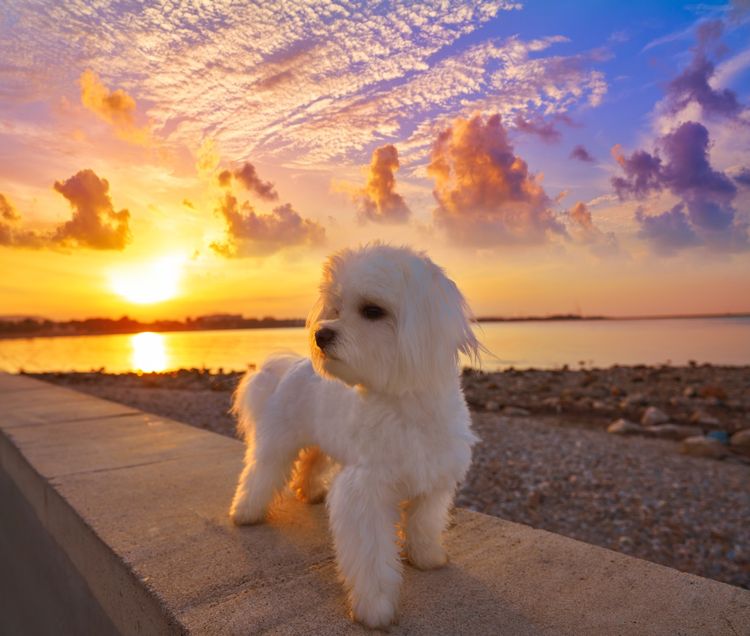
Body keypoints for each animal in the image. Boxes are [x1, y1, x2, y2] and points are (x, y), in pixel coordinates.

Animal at [229, 246, 482, 628]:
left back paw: (309, 491)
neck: (404, 406)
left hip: (323, 440)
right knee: (260, 473)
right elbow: (372, 556)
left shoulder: (434, 481)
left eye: (372, 311)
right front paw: (375, 607)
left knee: (310, 462)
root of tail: (291, 365)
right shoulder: (366, 493)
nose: (321, 334)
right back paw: (245, 512)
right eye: (335, 309)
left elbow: (424, 523)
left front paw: (426, 557)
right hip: (278, 442)